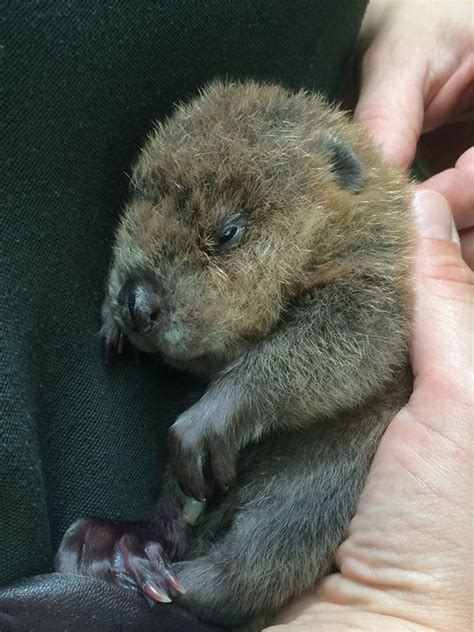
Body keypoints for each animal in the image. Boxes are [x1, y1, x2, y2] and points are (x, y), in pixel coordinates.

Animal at [55, 81, 412, 628]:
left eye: (228, 232)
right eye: (139, 196)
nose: (138, 301)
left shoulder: (378, 276)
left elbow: (355, 340)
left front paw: (202, 425)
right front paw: (111, 323)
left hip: (326, 481)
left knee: (254, 563)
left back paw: (141, 569)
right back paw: (115, 543)